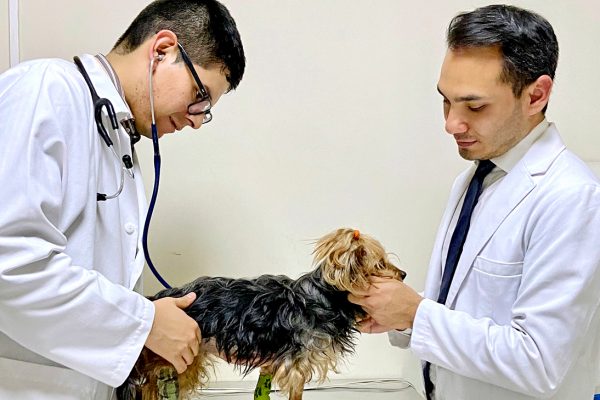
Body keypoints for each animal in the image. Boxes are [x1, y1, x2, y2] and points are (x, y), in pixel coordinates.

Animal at [117, 228, 406, 400]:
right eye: (381, 264)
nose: (403, 274)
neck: (324, 298)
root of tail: (158, 300)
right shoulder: (295, 368)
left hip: (188, 359)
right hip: (172, 355)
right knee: (146, 385)